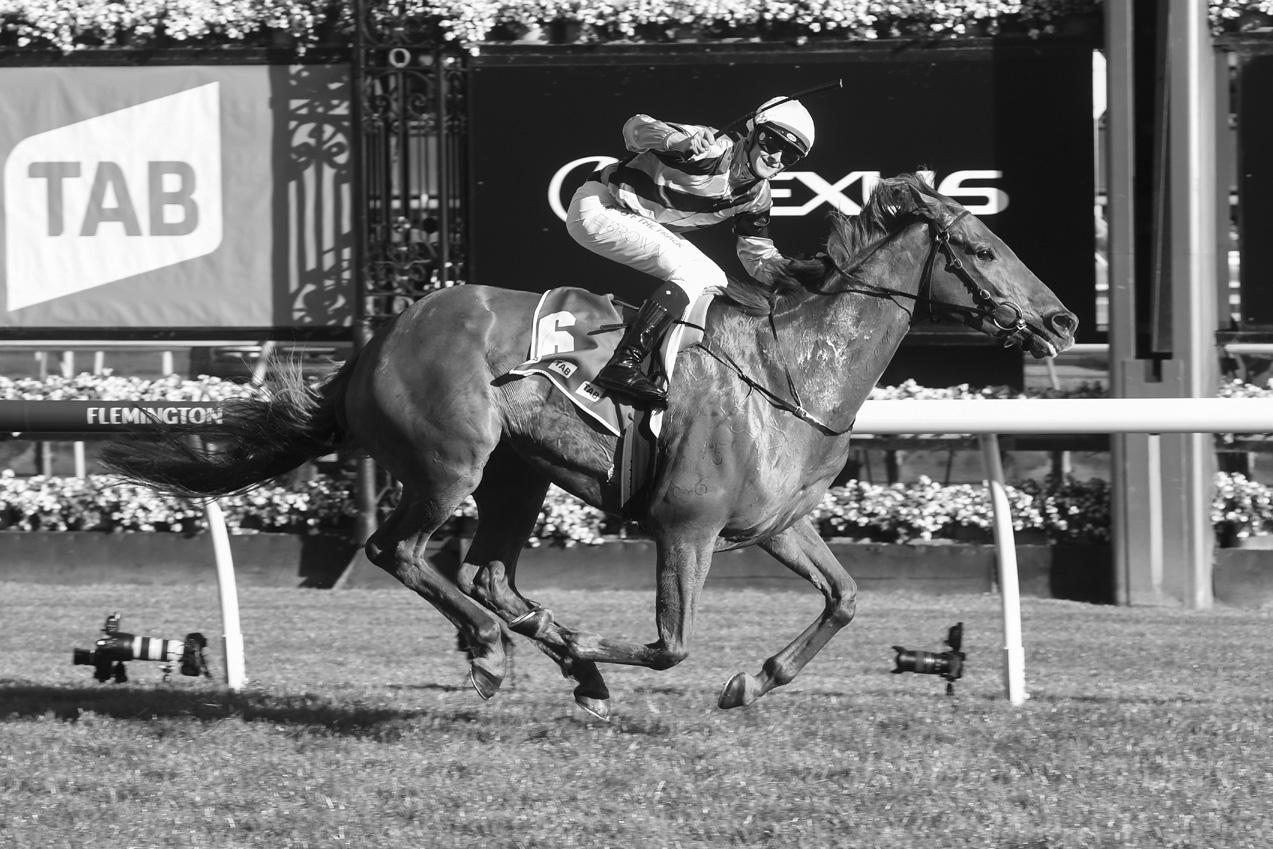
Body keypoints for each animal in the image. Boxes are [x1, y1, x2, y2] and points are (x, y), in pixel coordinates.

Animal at [102, 173, 1077, 720]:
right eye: (981, 245)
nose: (1064, 320)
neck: (790, 370)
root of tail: (377, 339)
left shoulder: (773, 525)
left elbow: (844, 599)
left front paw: (750, 680)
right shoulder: (684, 527)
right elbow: (668, 646)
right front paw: (594, 659)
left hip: (514, 475)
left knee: (489, 573)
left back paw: (536, 648)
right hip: (449, 462)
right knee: (401, 551)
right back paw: (493, 649)